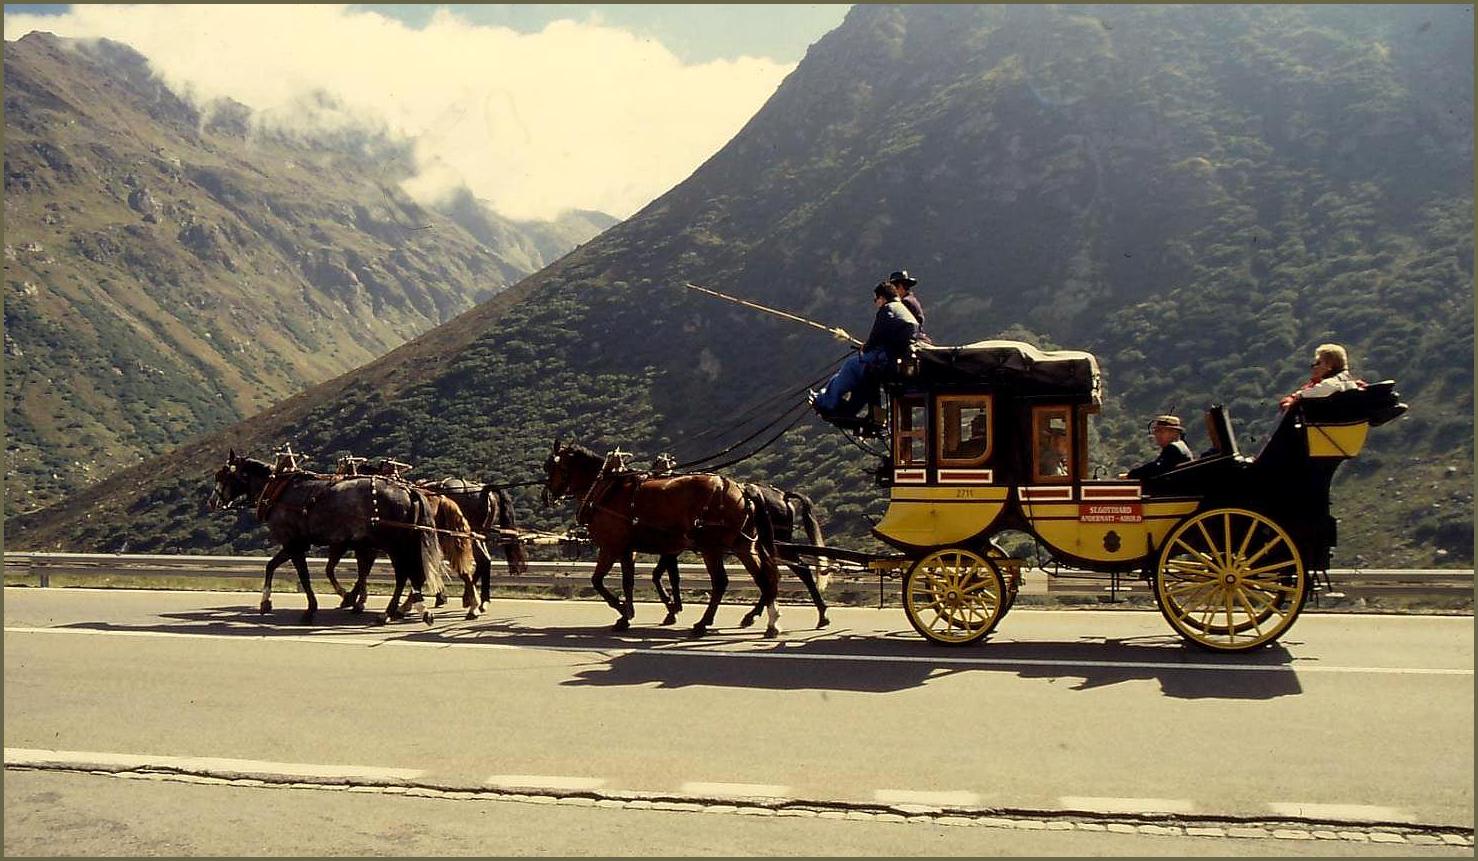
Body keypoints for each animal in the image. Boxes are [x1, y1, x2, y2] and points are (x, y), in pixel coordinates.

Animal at [206, 451, 443, 626]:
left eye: (221, 475)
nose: (211, 502)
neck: (279, 491)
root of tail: (407, 490)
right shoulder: (300, 543)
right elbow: (271, 566)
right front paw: (266, 602)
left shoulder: (293, 543)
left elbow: (304, 577)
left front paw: (311, 609)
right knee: (411, 574)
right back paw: (410, 608)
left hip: (394, 544)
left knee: (404, 574)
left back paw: (392, 611)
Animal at [540, 440, 780, 637]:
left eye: (549, 466)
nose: (545, 496)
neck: (605, 489)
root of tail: (741, 490)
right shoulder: (628, 550)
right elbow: (628, 582)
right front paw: (627, 615)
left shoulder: (611, 547)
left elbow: (597, 581)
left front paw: (622, 608)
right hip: (743, 545)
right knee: (764, 578)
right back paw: (765, 620)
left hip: (710, 547)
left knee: (722, 582)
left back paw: (703, 623)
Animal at [653, 484, 839, 632]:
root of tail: (783, 496)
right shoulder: (674, 548)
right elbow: (669, 575)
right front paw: (673, 608)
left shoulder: (674, 548)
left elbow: (662, 575)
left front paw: (672, 609)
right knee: (779, 575)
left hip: (775, 545)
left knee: (795, 572)